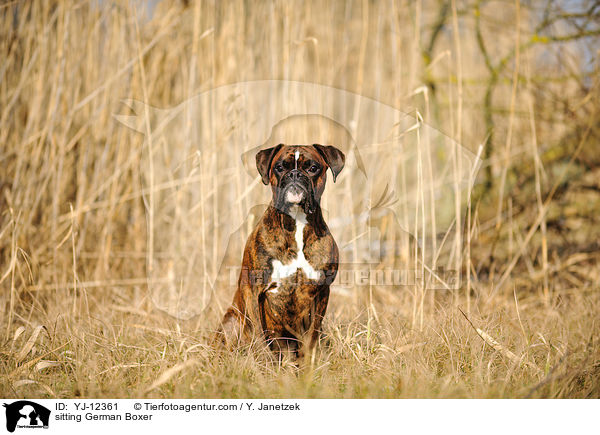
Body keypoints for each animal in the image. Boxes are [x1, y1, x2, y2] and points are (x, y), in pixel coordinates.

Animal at [219, 145, 342, 360]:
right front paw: (265, 361)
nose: (294, 174)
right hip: (231, 322)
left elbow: (312, 335)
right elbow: (259, 333)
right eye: (280, 167)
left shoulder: (321, 291)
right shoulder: (252, 288)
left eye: (313, 168)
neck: (297, 221)